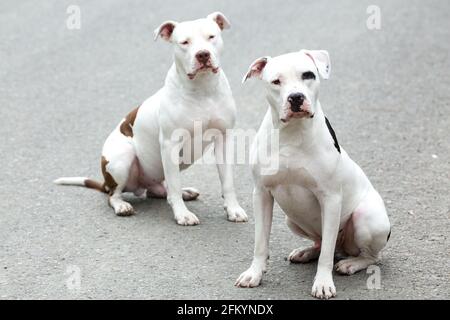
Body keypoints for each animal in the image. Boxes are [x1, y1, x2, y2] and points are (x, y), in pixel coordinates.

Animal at [55, 13, 250, 225]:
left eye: (211, 37)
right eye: (184, 42)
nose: (203, 54)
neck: (203, 89)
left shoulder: (224, 139)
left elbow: (227, 182)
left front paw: (234, 210)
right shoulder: (170, 144)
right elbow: (174, 185)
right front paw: (182, 214)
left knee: (160, 190)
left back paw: (184, 192)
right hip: (122, 158)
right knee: (115, 195)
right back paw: (122, 205)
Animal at [236, 49, 390, 298]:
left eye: (307, 75)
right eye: (276, 81)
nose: (296, 97)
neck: (291, 132)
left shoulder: (331, 199)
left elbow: (326, 255)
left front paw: (323, 283)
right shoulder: (261, 194)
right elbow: (260, 242)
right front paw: (255, 273)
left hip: (367, 218)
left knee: (366, 255)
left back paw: (351, 263)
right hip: (292, 219)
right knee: (321, 242)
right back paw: (306, 251)